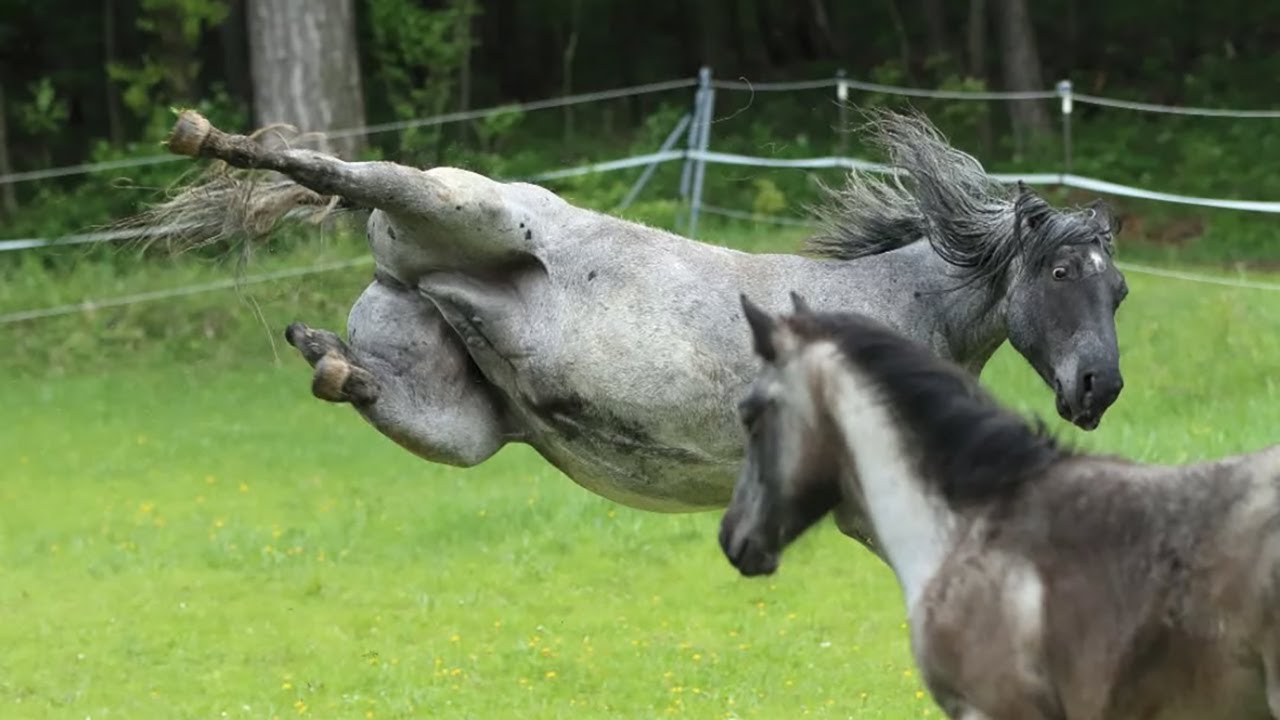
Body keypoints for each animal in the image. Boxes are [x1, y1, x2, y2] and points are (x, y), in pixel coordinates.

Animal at [129, 108, 1127, 528]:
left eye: (1118, 292)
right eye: (1062, 271)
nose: (1099, 387)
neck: (894, 307)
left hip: (459, 426)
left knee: (365, 384)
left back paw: (324, 352)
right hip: (463, 209)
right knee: (349, 171)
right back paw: (210, 138)